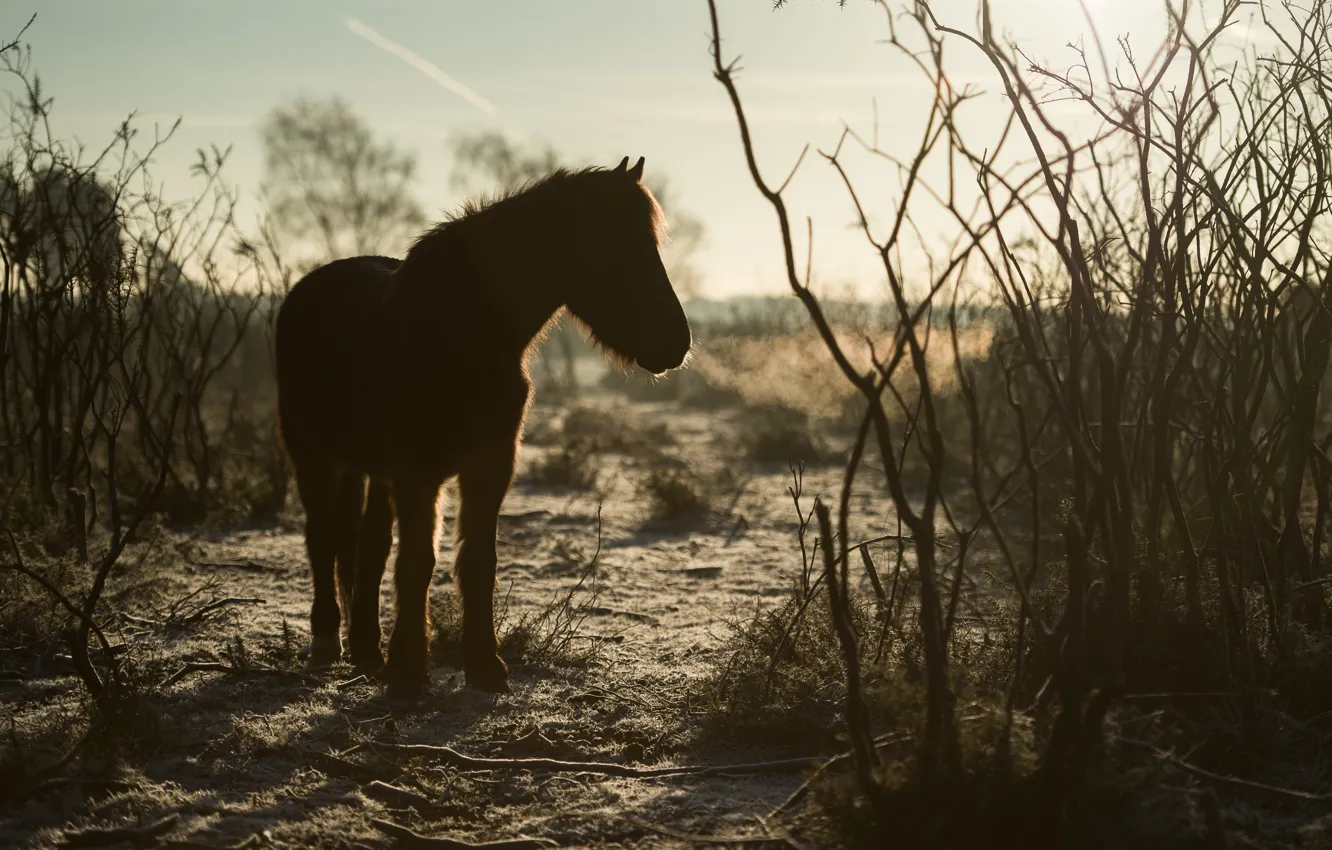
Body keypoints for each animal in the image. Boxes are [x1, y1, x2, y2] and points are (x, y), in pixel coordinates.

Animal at [275, 157, 692, 697]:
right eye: (614, 246)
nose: (677, 343)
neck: (462, 330)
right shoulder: (418, 472)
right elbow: (418, 563)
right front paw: (409, 673)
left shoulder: (490, 465)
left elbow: (476, 563)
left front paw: (484, 666)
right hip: (313, 456)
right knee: (322, 538)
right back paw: (328, 640)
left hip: (370, 471)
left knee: (367, 546)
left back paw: (367, 651)